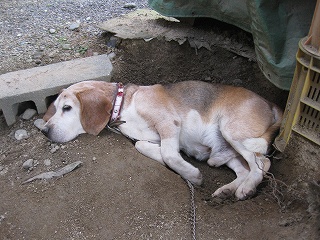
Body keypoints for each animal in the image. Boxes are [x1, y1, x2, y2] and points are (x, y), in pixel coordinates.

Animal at [40, 81, 282, 201]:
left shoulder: (168, 122)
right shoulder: (149, 137)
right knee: (242, 169)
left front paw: (191, 174)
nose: (45, 131)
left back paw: (246, 189)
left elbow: (169, 154)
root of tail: (271, 104)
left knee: (263, 163)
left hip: (231, 130)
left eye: (67, 108)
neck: (124, 103)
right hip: (225, 143)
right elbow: (143, 146)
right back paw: (227, 190)